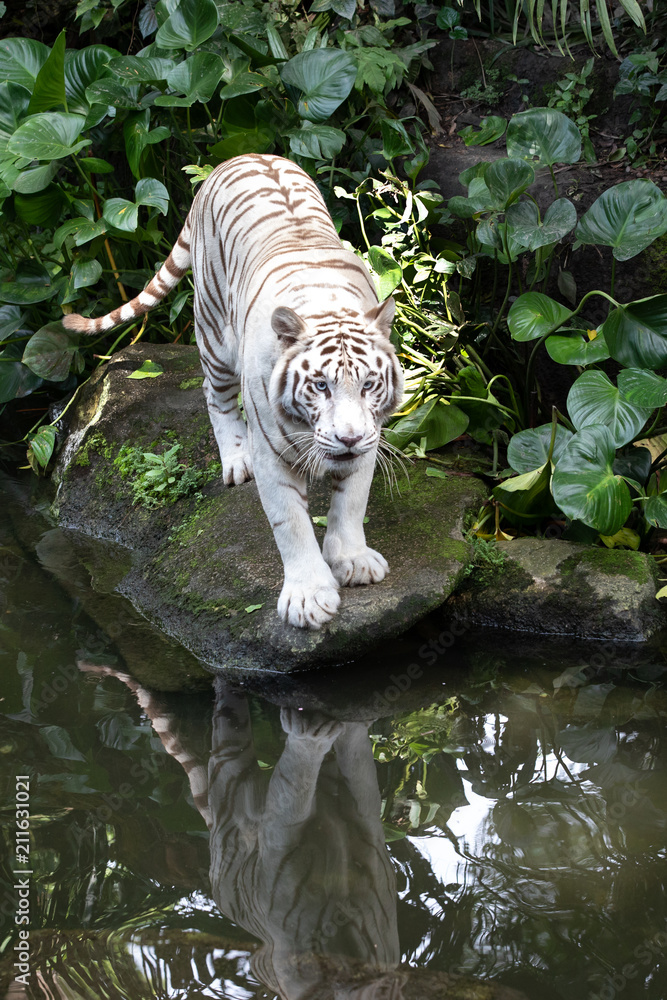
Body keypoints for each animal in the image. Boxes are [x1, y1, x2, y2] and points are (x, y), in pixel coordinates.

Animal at [65, 152, 404, 628]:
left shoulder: (371, 439)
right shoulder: (273, 453)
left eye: (369, 384)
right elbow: (290, 523)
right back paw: (235, 461)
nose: (349, 438)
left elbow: (352, 501)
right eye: (320, 385)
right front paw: (308, 596)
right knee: (214, 397)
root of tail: (234, 159)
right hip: (212, 332)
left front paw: (351, 559)